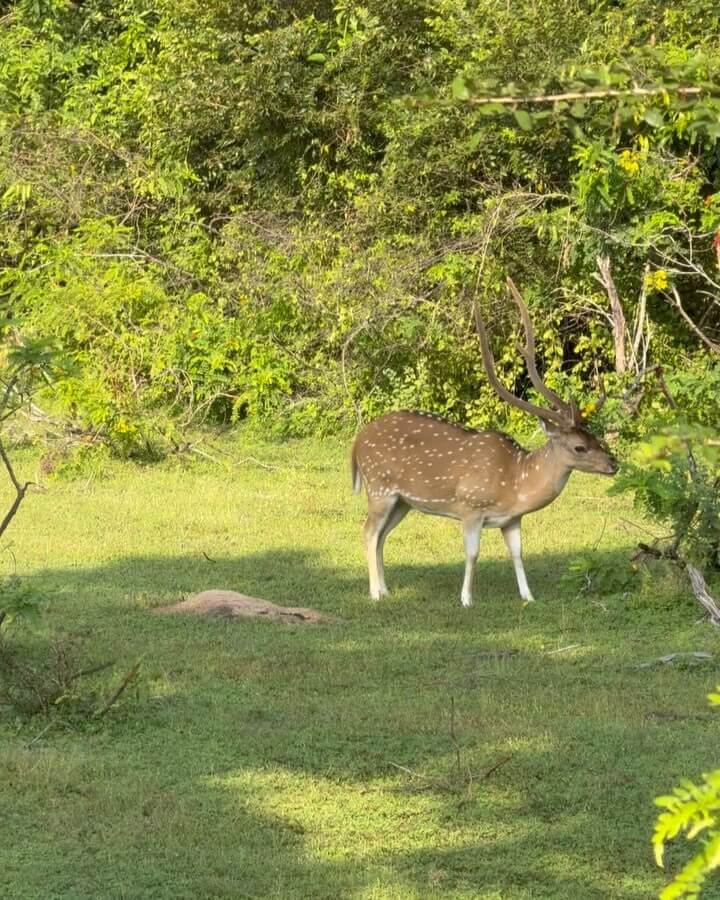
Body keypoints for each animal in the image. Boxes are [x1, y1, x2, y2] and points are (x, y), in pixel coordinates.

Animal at [352, 278, 616, 608]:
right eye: (579, 447)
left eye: (594, 436)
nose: (614, 463)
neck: (516, 483)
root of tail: (356, 442)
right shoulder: (471, 507)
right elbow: (473, 554)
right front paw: (466, 599)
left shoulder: (512, 519)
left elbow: (517, 554)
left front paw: (528, 596)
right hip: (379, 488)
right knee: (367, 531)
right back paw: (375, 593)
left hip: (402, 501)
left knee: (381, 535)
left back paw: (386, 589)